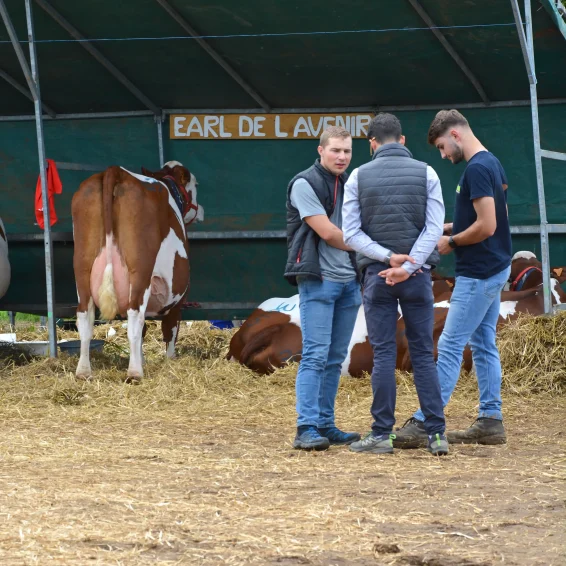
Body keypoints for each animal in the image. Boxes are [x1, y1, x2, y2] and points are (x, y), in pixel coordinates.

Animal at [72, 160, 203, 382]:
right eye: (195, 185)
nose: (201, 210)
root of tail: (115, 171)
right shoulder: (178, 298)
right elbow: (169, 329)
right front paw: (169, 360)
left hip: (82, 267)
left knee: (84, 316)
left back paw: (83, 371)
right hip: (140, 272)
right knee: (135, 317)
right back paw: (134, 373)